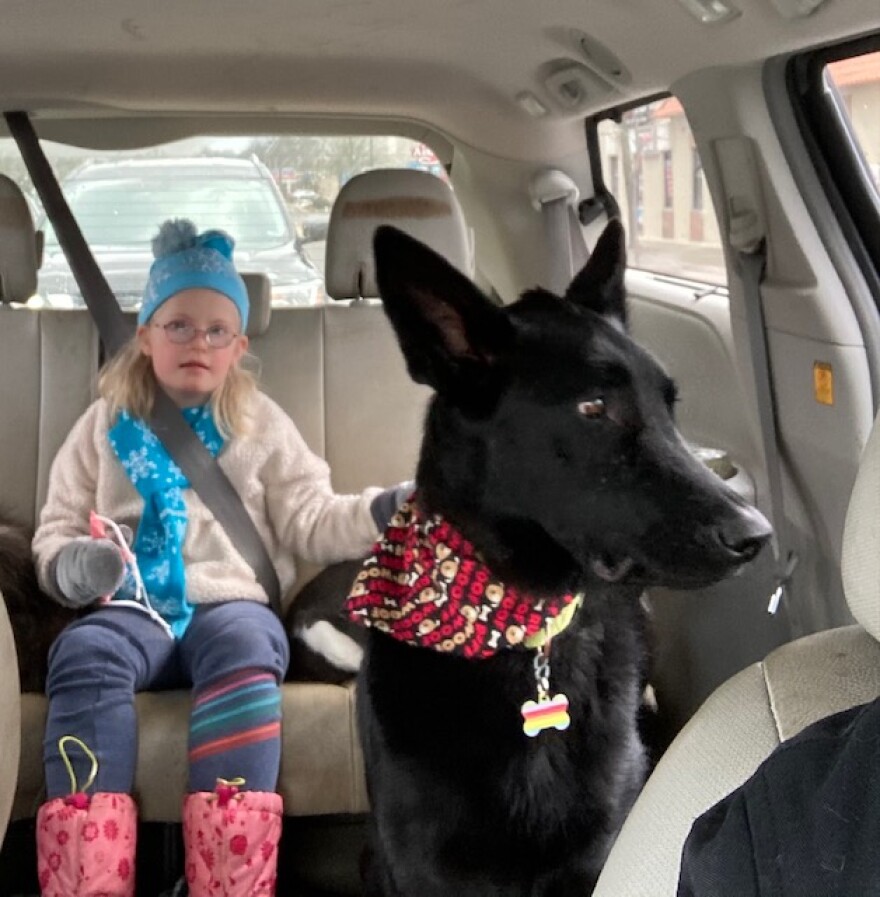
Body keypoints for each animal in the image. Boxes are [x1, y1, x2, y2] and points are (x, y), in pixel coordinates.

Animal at [344, 219, 768, 896]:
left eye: (668, 406)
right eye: (593, 408)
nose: (757, 535)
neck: (520, 627)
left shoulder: (602, 855)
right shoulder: (422, 871)